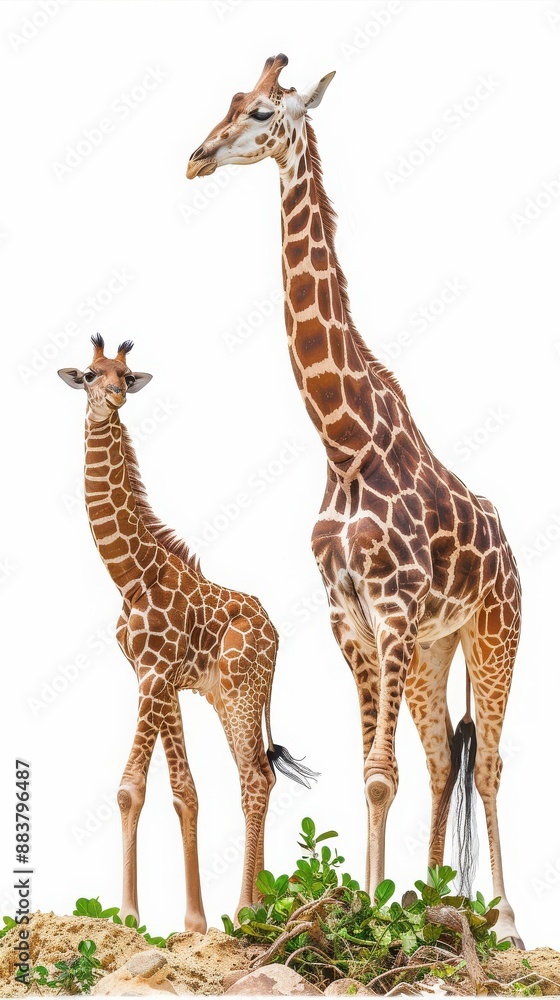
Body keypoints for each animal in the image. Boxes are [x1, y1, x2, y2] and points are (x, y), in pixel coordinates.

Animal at [58, 334, 316, 932]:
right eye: (90, 373)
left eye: (126, 376)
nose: (111, 398)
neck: (130, 575)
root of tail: (277, 635)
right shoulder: (162, 679)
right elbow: (184, 791)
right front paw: (193, 922)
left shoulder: (153, 676)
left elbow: (130, 788)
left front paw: (129, 914)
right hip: (226, 695)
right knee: (259, 776)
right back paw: (257, 906)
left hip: (243, 691)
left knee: (254, 779)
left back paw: (247, 911)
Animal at [187, 54, 524, 947]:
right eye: (228, 100)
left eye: (262, 111)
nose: (197, 157)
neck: (344, 443)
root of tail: (512, 555)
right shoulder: (349, 615)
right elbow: (378, 768)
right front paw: (374, 908)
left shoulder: (393, 608)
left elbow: (380, 772)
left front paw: (370, 917)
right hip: (437, 648)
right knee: (444, 758)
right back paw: (440, 897)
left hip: (495, 632)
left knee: (492, 761)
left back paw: (508, 922)